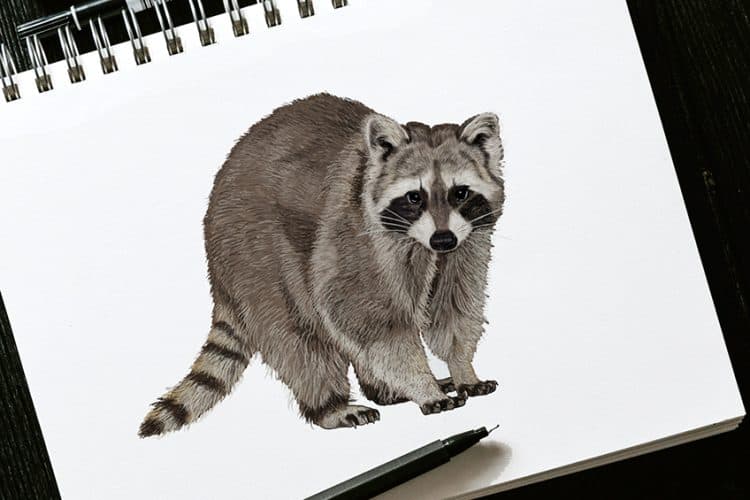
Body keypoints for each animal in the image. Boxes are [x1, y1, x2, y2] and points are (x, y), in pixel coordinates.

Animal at [139, 93, 505, 436]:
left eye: (461, 193)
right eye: (415, 196)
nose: (442, 239)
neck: (421, 243)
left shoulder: (467, 243)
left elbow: (453, 309)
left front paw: (462, 368)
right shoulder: (355, 237)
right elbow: (370, 318)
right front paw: (423, 385)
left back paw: (383, 391)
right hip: (254, 251)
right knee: (301, 337)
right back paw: (330, 405)